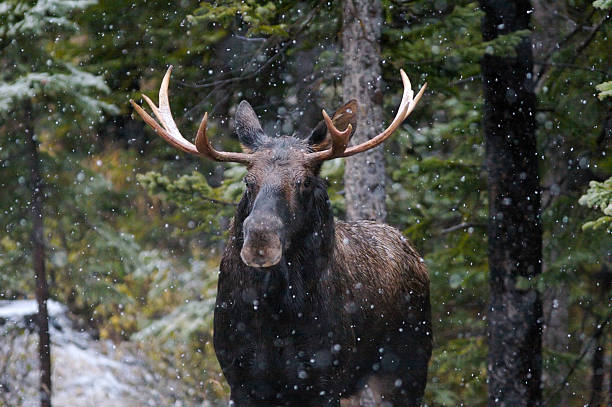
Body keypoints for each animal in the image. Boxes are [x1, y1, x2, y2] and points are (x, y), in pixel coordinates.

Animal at [131, 67, 432, 407]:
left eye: (305, 182)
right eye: (248, 181)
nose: (260, 241)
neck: (277, 316)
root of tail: (410, 249)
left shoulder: (324, 379)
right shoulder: (242, 378)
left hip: (404, 369)